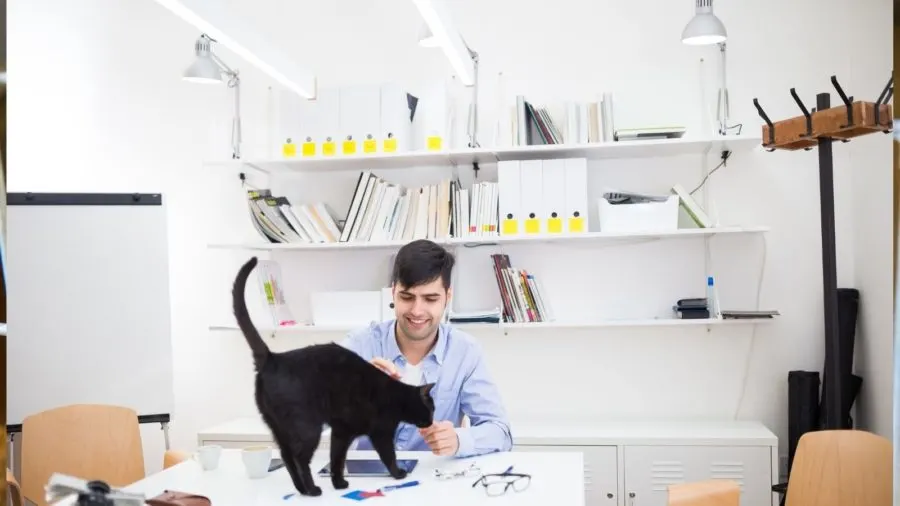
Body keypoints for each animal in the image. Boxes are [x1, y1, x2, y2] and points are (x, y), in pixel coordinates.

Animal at [229, 258, 432, 496]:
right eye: (432, 408)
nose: (432, 420)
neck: (397, 396)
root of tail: (272, 358)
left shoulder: (341, 432)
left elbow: (337, 459)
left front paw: (338, 483)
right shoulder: (379, 433)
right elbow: (387, 456)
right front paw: (398, 473)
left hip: (277, 427)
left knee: (287, 456)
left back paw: (301, 489)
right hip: (308, 428)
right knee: (300, 458)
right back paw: (312, 489)